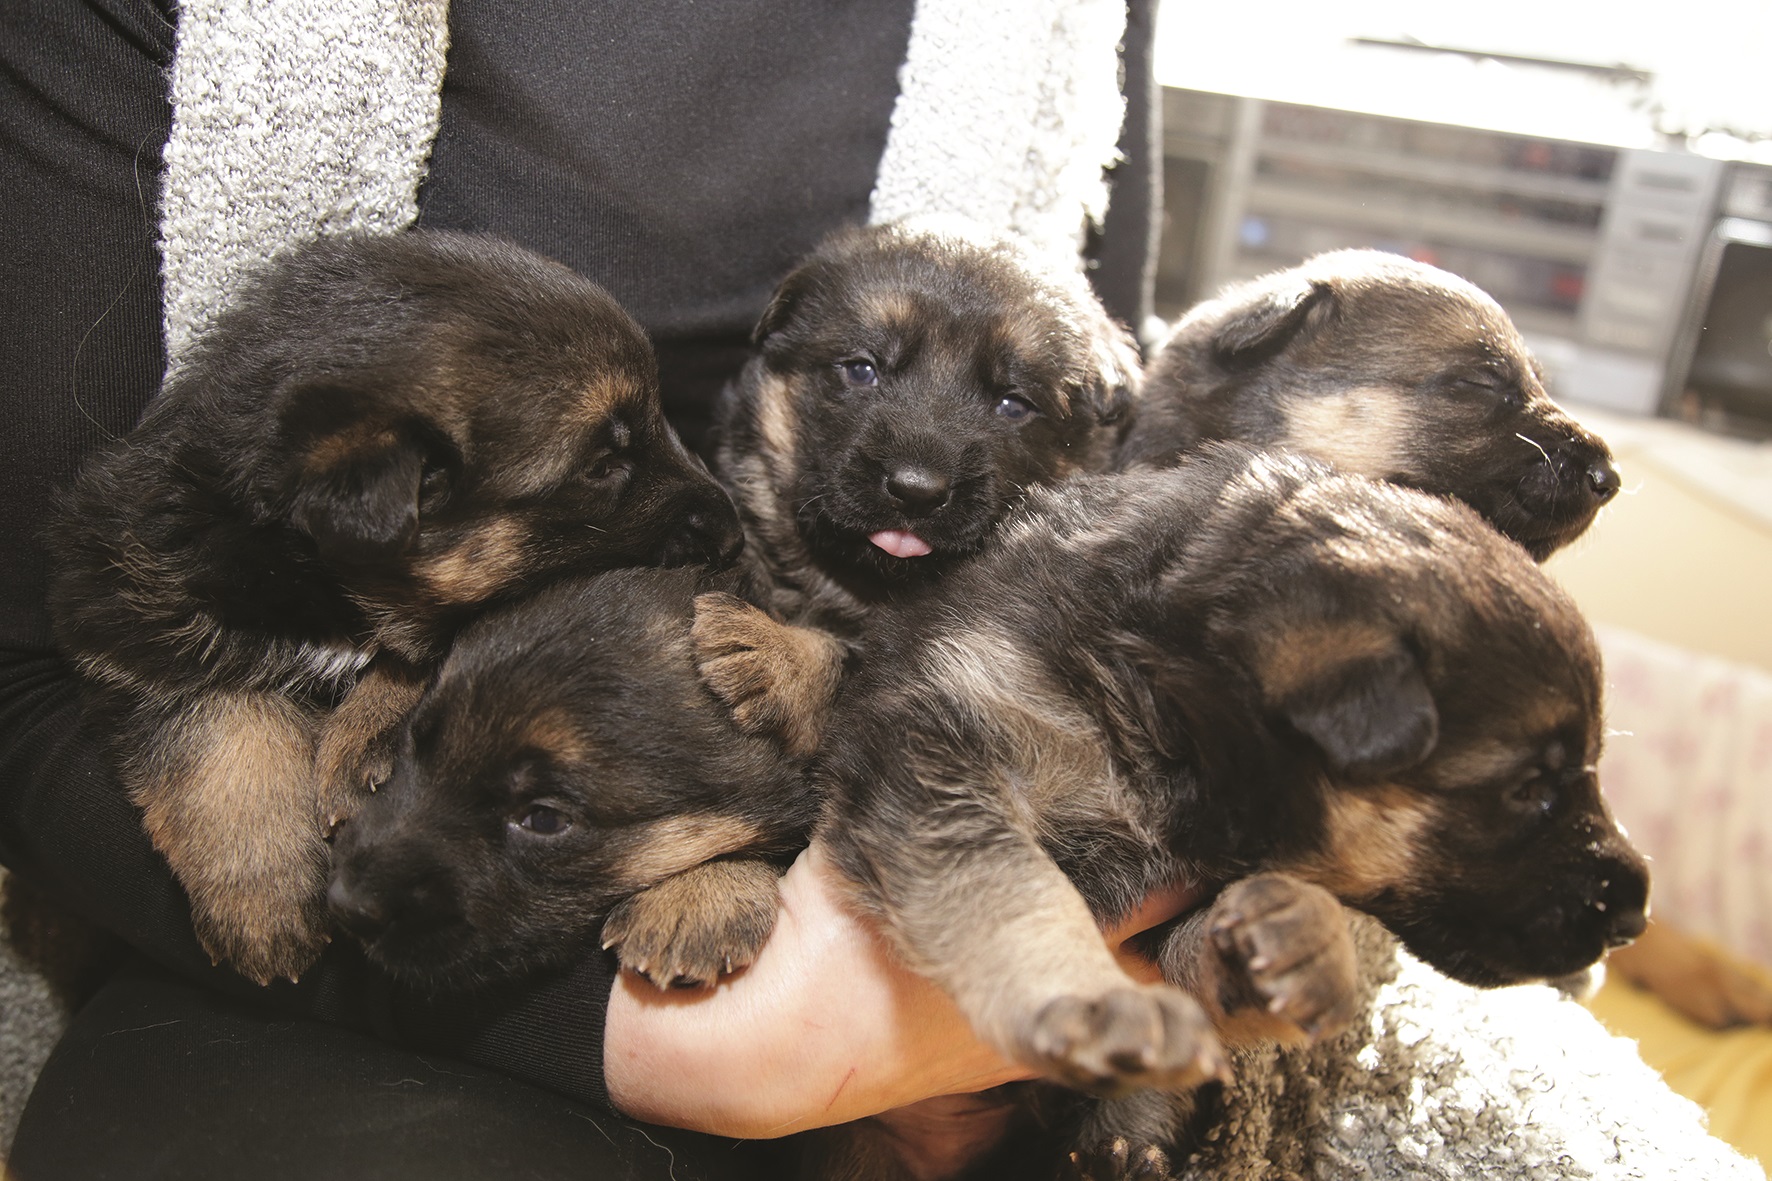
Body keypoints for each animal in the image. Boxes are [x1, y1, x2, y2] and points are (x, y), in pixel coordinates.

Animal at [48, 230, 740, 985]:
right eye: (602, 465)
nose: (734, 535)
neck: (322, 584)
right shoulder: (138, 615)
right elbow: (217, 733)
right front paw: (264, 897)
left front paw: (366, 740)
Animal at [815, 446, 1644, 1170]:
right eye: (1529, 789)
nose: (1634, 915)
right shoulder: (940, 753)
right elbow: (1013, 890)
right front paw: (1091, 1000)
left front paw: (1304, 940)